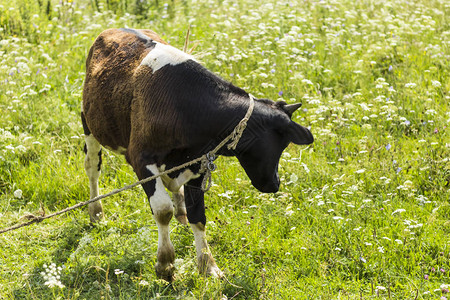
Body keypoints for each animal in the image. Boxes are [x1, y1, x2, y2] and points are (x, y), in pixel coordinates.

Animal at [81, 28, 312, 282]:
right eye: (282, 143)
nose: (274, 184)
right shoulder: (141, 159)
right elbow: (162, 211)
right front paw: (166, 264)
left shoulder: (199, 162)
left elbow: (198, 215)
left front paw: (208, 266)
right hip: (89, 124)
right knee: (92, 168)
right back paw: (96, 212)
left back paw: (180, 210)